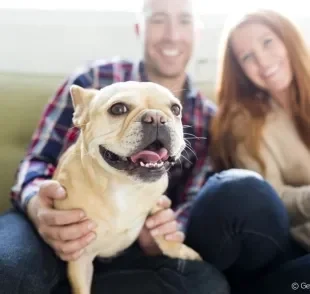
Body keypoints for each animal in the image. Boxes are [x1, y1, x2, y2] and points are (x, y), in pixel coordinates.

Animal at [52, 81, 203, 294]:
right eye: (118, 109)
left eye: (176, 109)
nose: (156, 117)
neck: (124, 185)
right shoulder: (79, 257)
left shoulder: (157, 201)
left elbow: (163, 232)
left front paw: (178, 250)